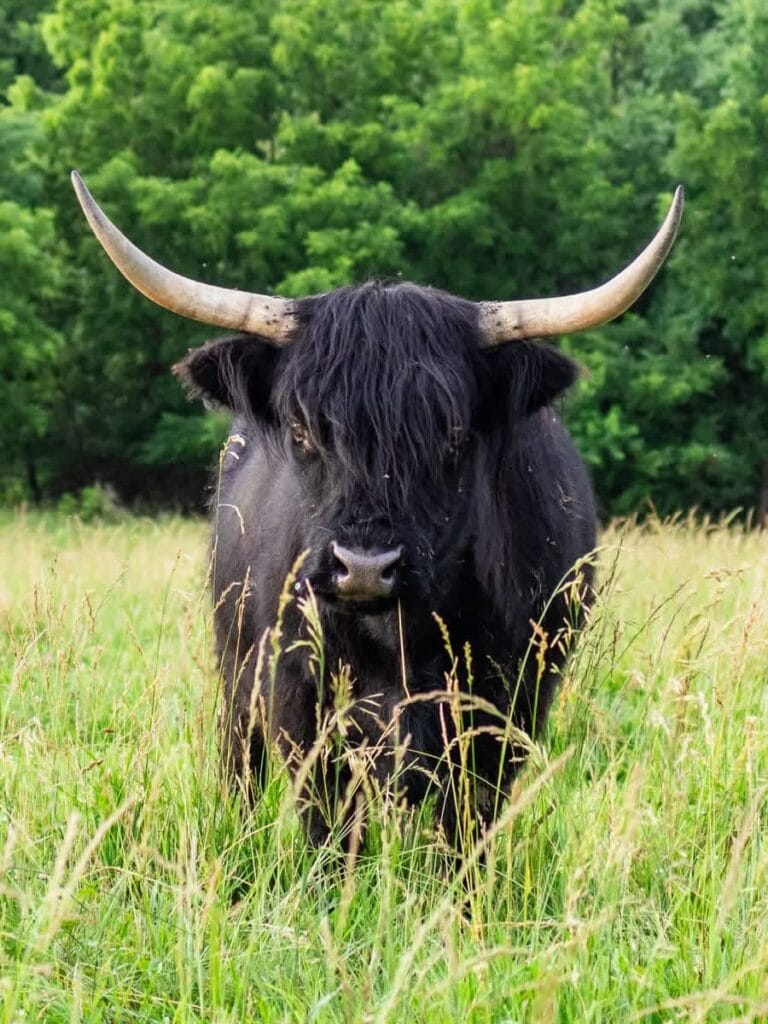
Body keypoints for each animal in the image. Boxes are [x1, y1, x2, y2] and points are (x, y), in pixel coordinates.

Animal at [72, 172, 683, 852]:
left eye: (453, 435)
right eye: (302, 429)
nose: (363, 567)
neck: (398, 641)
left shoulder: (504, 708)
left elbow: (463, 832)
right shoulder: (299, 698)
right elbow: (329, 829)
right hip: (234, 666)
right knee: (241, 769)